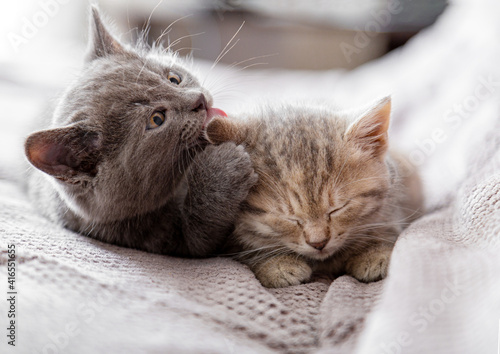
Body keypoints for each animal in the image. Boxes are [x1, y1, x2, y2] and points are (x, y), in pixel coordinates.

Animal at [23, 7, 256, 258]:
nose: (200, 100)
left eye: (174, 78)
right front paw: (223, 167)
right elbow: (200, 233)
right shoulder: (160, 238)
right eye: (157, 119)